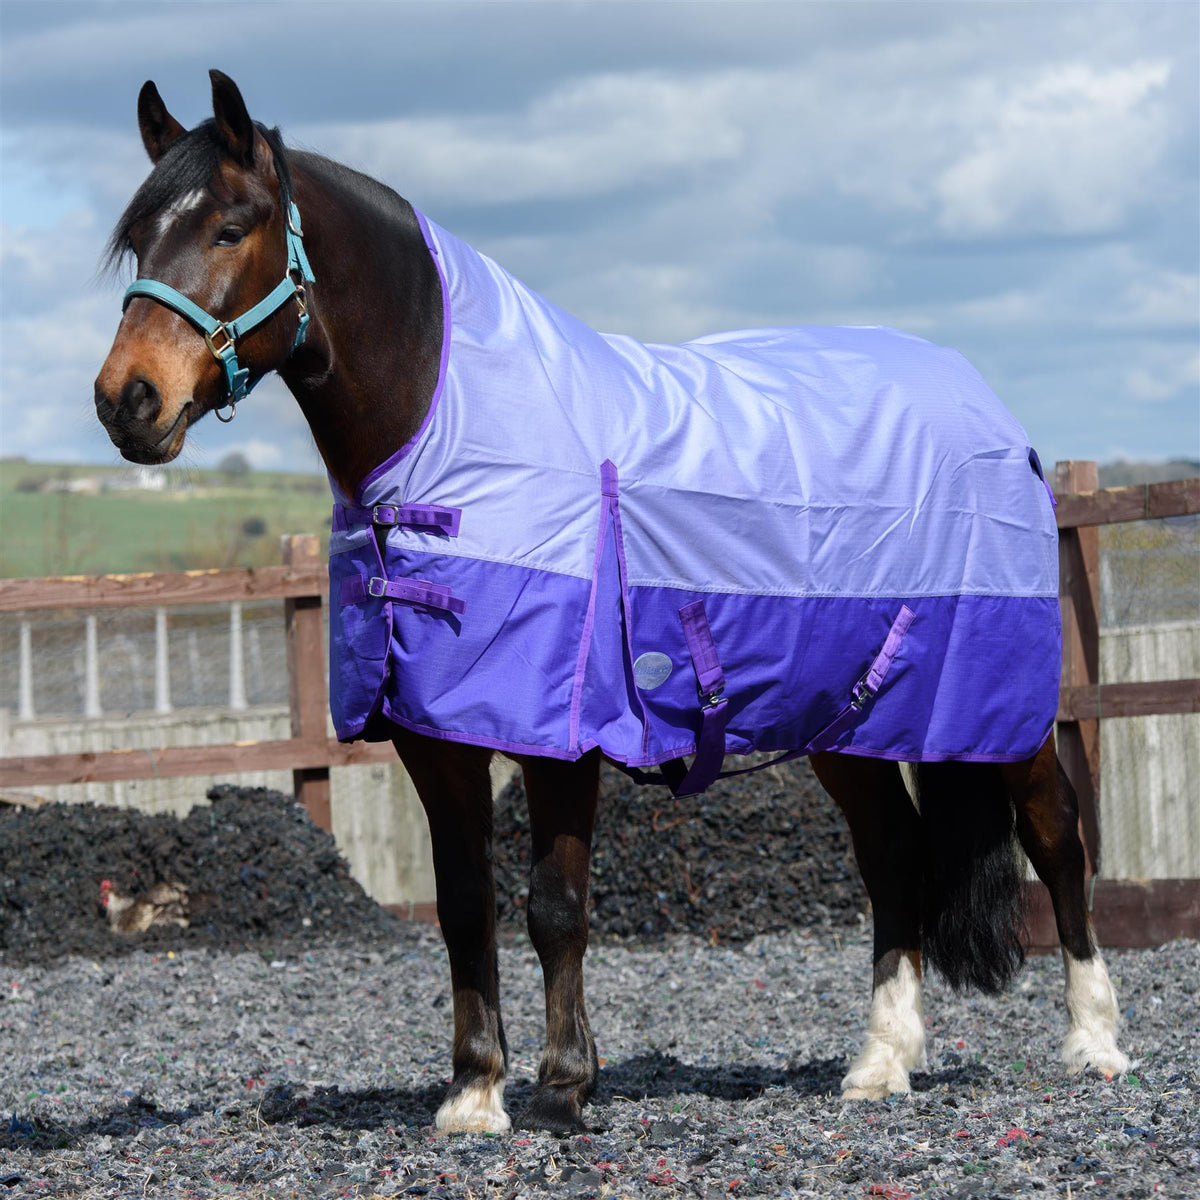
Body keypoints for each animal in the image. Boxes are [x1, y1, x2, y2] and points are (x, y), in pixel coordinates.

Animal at [93, 71, 1129, 1134]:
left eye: (230, 229)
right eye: (137, 243)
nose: (126, 401)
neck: (451, 438)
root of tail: (987, 408)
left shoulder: (566, 734)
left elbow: (554, 904)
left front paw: (563, 1085)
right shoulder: (436, 736)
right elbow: (465, 906)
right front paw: (474, 1091)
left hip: (1000, 709)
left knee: (1056, 834)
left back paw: (1094, 1043)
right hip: (849, 724)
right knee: (893, 856)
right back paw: (882, 1060)